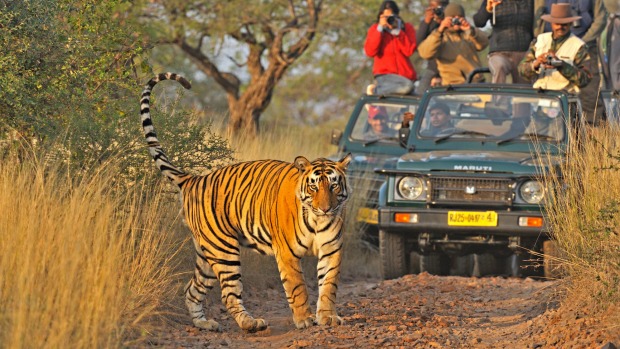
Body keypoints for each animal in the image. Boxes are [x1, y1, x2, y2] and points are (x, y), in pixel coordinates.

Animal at [141, 72, 354, 332]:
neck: (316, 220)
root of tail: (194, 178)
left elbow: (329, 285)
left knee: (191, 290)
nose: (325, 208)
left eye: (334, 185)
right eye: (314, 186)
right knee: (229, 294)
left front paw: (328, 317)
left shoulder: (332, 249)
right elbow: (298, 287)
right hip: (223, 250)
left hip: (206, 254)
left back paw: (205, 323)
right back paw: (251, 323)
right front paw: (304, 319)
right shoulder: (287, 253)